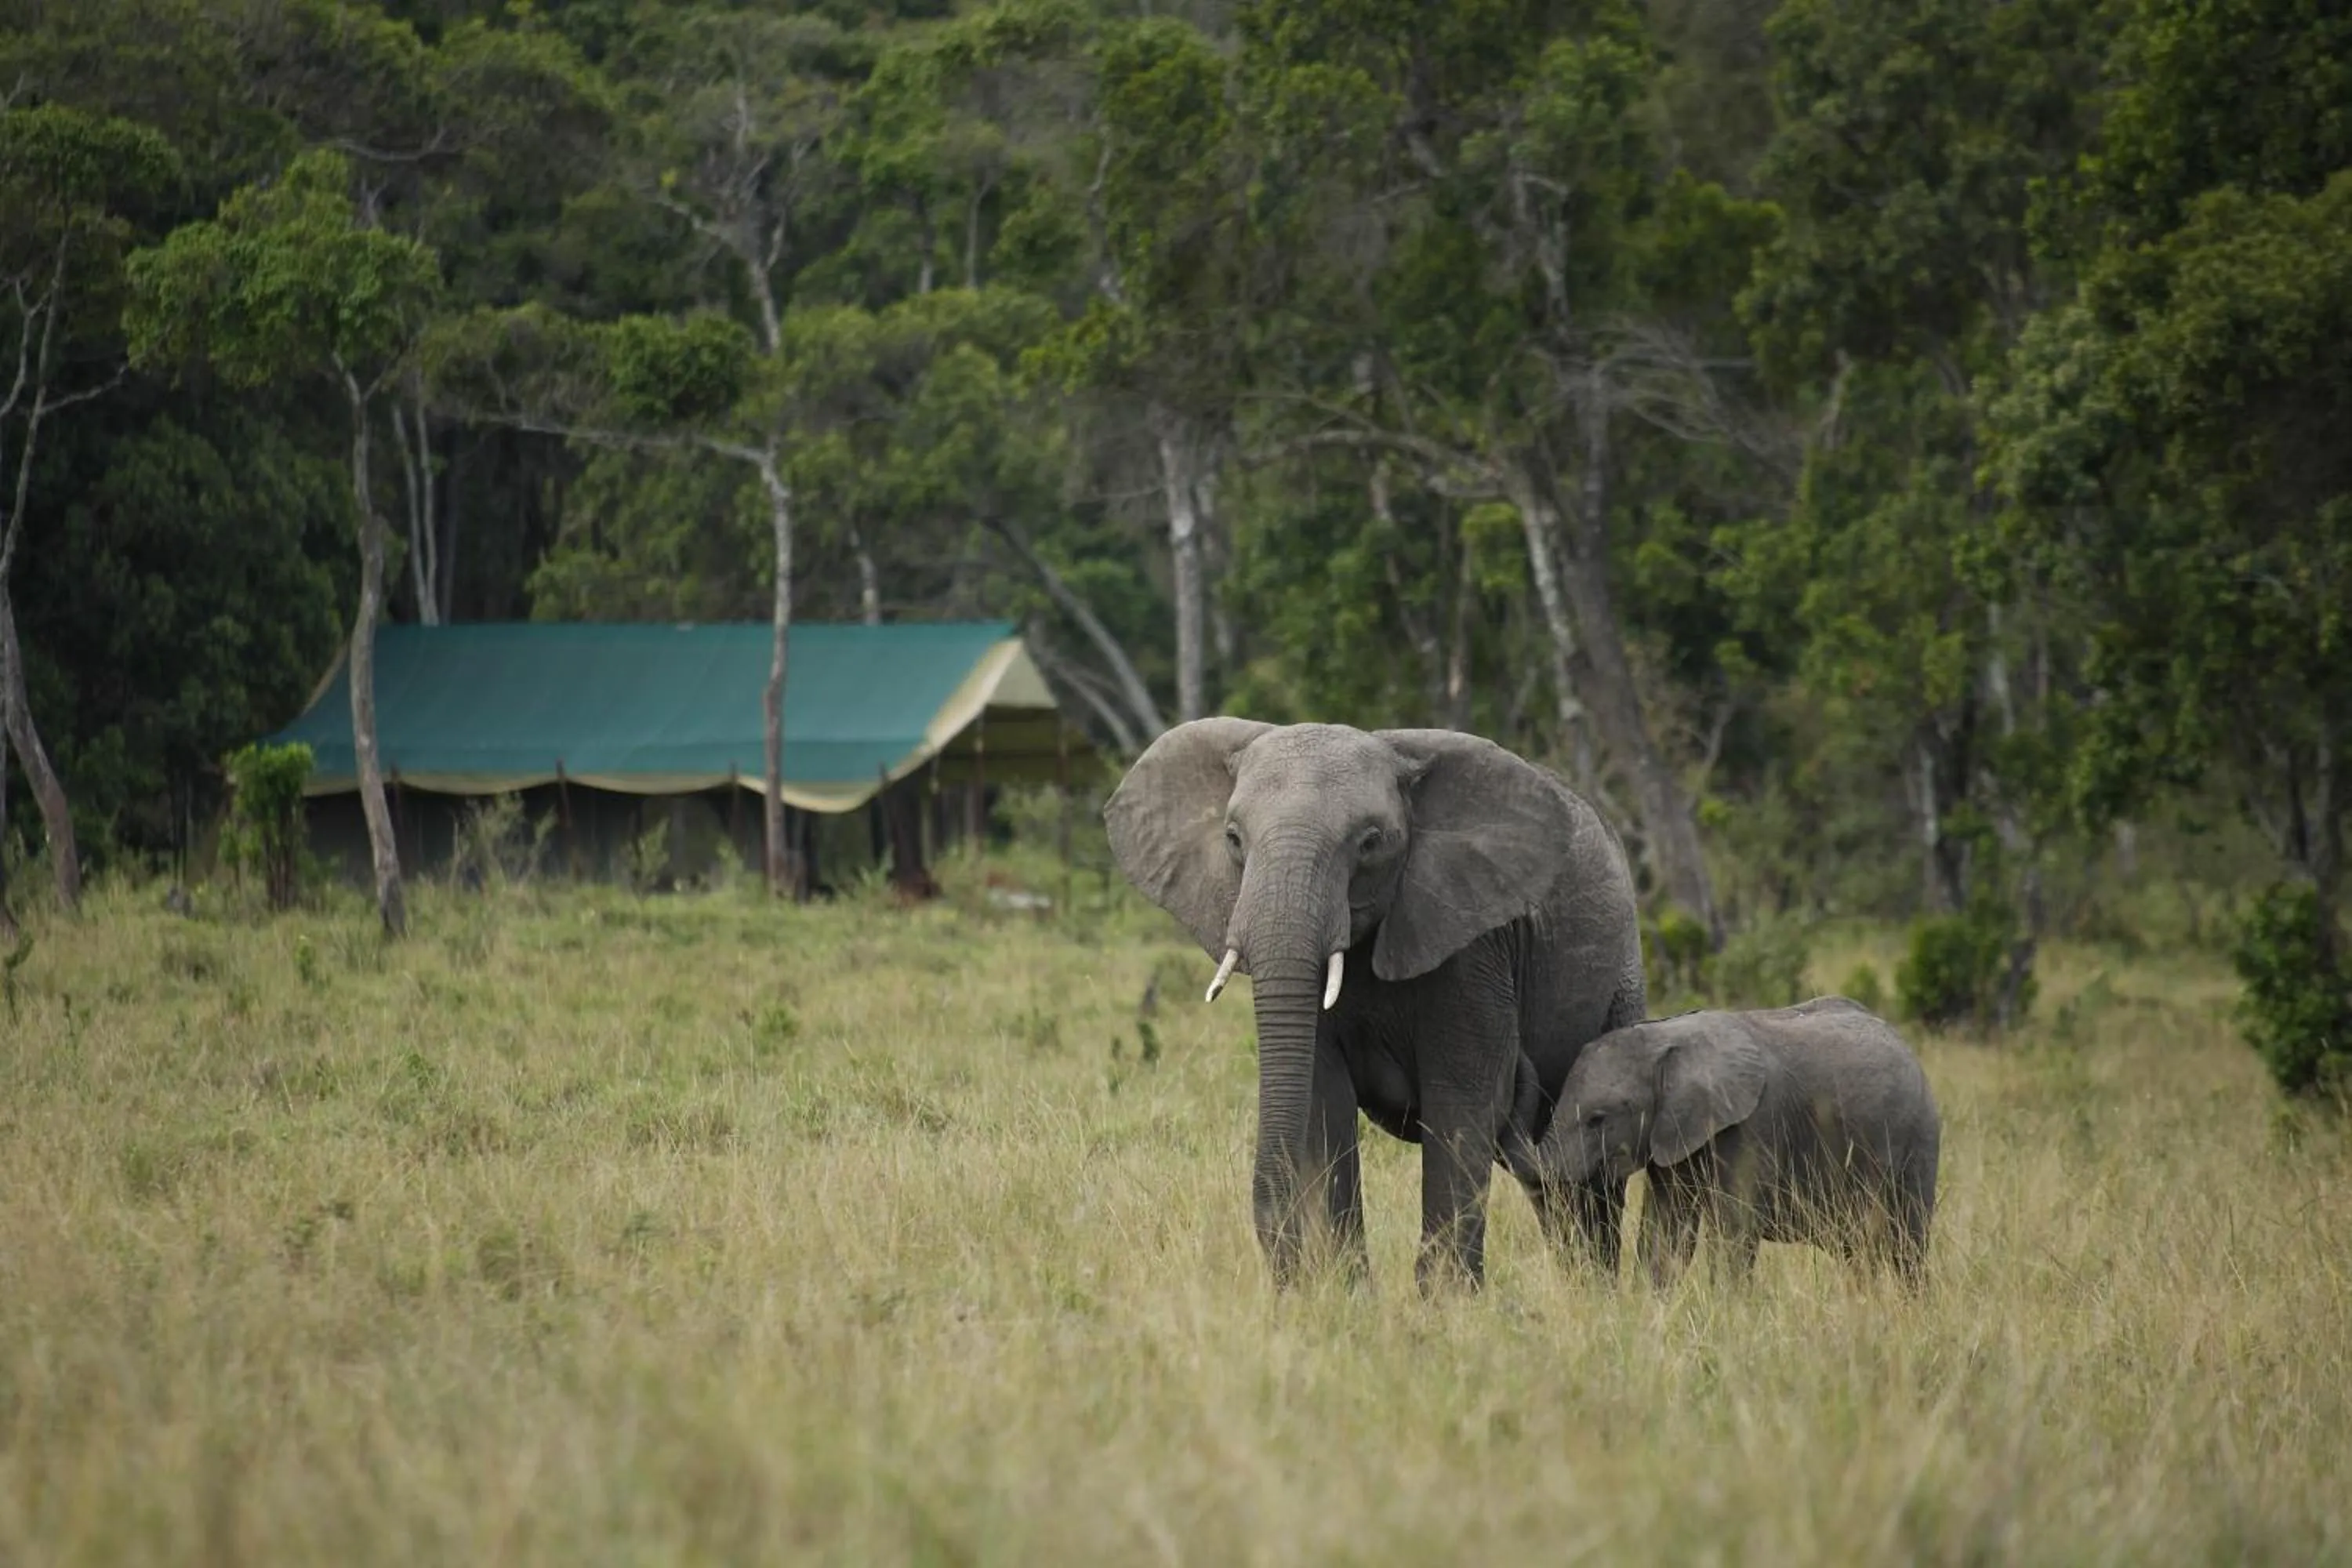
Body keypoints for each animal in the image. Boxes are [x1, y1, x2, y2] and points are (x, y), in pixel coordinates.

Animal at [1104, 719, 1647, 1291]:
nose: (1287, 1278)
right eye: (1232, 838)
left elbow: (1463, 1101)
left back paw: (1598, 1289)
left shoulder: (1474, 948)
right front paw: (1343, 1295)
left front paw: (1447, 1302)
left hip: (1621, 975)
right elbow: (1324, 1104)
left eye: (1370, 842)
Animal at [1532, 997, 1940, 1287]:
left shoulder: (1755, 1124)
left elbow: (1734, 1230)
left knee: (1906, 1246)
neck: (1669, 1039)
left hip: (1919, 1139)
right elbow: (1665, 1229)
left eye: (1598, 1120)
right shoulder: (1670, 1134)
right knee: (1860, 1251)